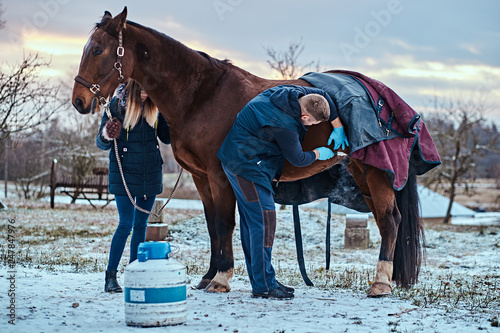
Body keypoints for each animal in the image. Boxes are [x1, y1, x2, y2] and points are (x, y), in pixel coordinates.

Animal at [73, 7, 426, 296]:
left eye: (98, 49)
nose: (79, 100)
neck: (202, 95)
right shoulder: (202, 178)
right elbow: (213, 226)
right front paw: (208, 276)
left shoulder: (220, 175)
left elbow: (225, 224)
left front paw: (221, 279)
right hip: (362, 175)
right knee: (385, 219)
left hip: (376, 173)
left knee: (390, 220)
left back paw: (380, 284)